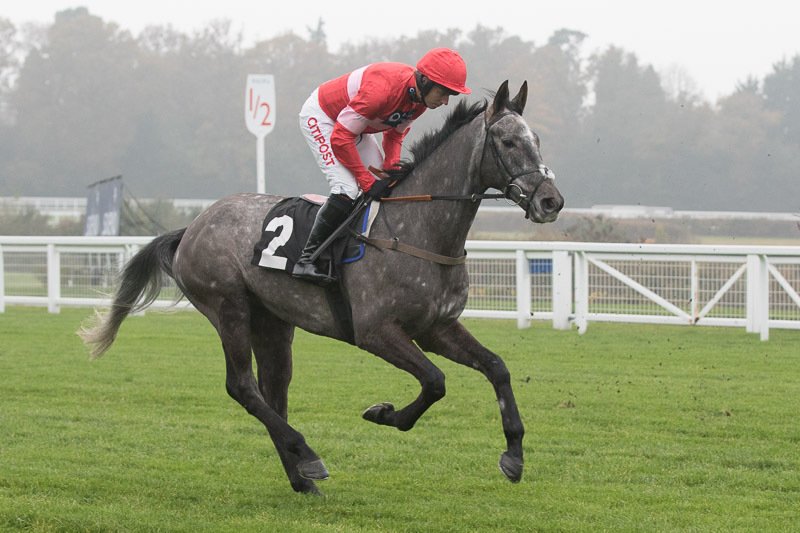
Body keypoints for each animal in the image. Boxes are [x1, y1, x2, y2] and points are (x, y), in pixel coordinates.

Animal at [80, 80, 565, 495]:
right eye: (509, 142)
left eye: (539, 139)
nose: (551, 201)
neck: (419, 231)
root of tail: (193, 226)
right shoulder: (375, 331)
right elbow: (435, 381)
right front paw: (384, 413)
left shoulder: (436, 327)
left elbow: (497, 367)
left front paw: (514, 456)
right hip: (228, 306)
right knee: (242, 387)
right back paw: (308, 455)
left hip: (272, 321)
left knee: (273, 391)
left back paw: (301, 477)